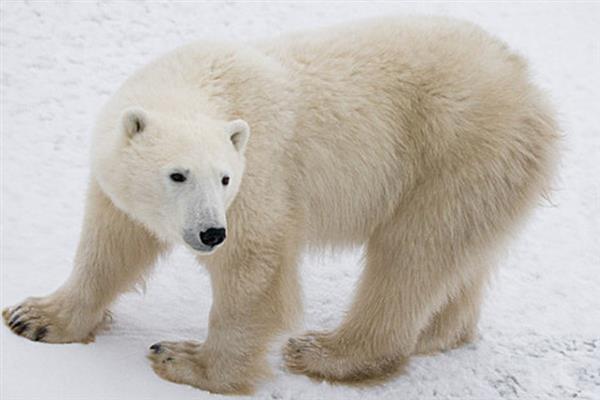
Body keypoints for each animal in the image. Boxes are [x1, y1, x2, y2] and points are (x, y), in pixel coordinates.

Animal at [3, 16, 556, 394]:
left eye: (225, 178)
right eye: (177, 174)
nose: (210, 233)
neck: (197, 80)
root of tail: (531, 90)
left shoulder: (261, 173)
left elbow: (254, 266)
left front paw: (186, 360)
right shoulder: (120, 180)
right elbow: (112, 243)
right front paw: (35, 317)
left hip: (455, 153)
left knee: (410, 256)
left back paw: (325, 351)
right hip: (484, 175)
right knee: (454, 258)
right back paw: (437, 332)